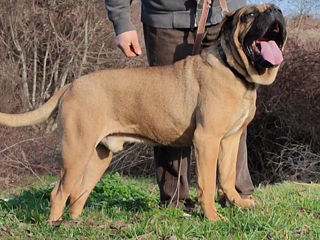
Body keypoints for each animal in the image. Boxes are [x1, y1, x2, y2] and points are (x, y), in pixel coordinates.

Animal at [0, 3, 286, 221]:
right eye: (250, 14)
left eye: (275, 8)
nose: (276, 10)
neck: (233, 68)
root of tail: (71, 84)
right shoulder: (207, 139)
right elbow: (207, 184)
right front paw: (213, 218)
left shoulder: (230, 138)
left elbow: (226, 178)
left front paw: (239, 202)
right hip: (76, 151)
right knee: (59, 192)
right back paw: (55, 226)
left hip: (98, 155)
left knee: (78, 193)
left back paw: (75, 224)